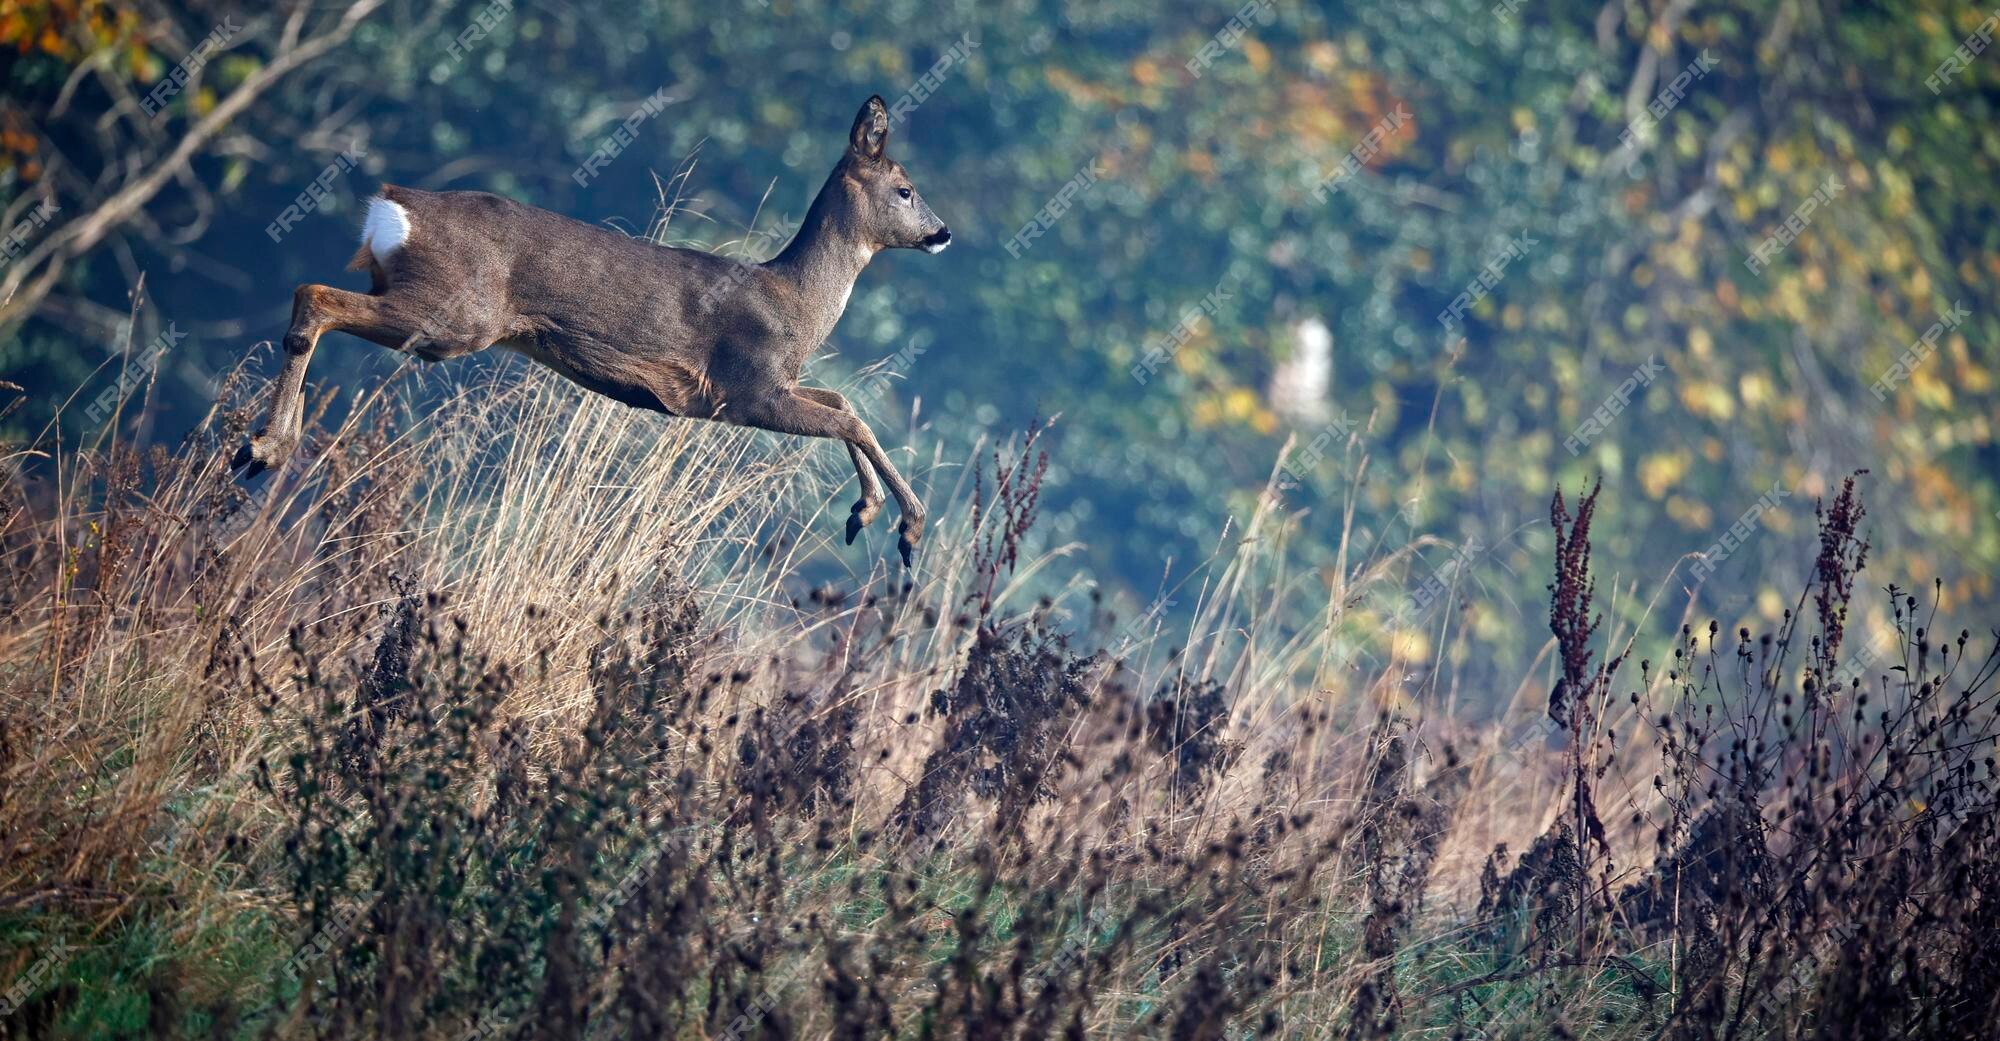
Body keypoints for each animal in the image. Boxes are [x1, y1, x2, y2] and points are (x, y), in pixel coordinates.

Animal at [234, 97, 952, 564]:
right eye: (905, 189)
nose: (942, 233)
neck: (795, 300)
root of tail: (392, 207)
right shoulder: (745, 388)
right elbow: (850, 415)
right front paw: (908, 526)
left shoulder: (775, 386)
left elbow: (839, 400)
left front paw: (863, 512)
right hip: (454, 316)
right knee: (314, 295)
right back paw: (267, 447)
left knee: (313, 295)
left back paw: (257, 449)